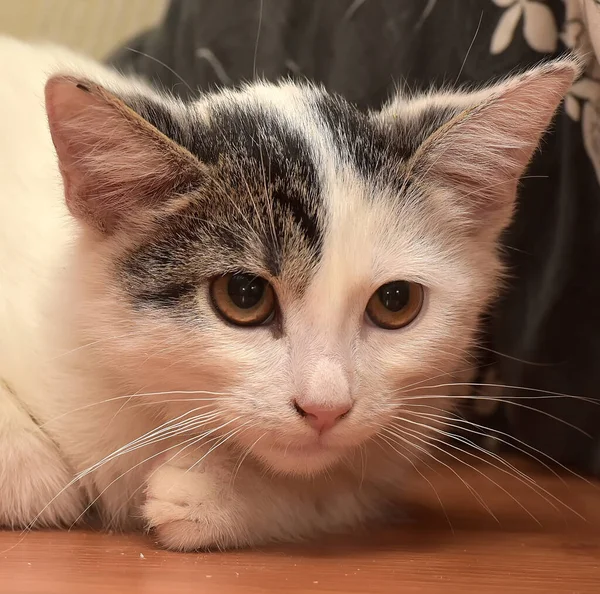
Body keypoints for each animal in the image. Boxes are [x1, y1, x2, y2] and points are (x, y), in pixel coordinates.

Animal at [0, 34, 576, 548]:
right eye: (244, 295)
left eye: (396, 303)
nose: (325, 408)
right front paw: (29, 472)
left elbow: (334, 486)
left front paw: (221, 492)